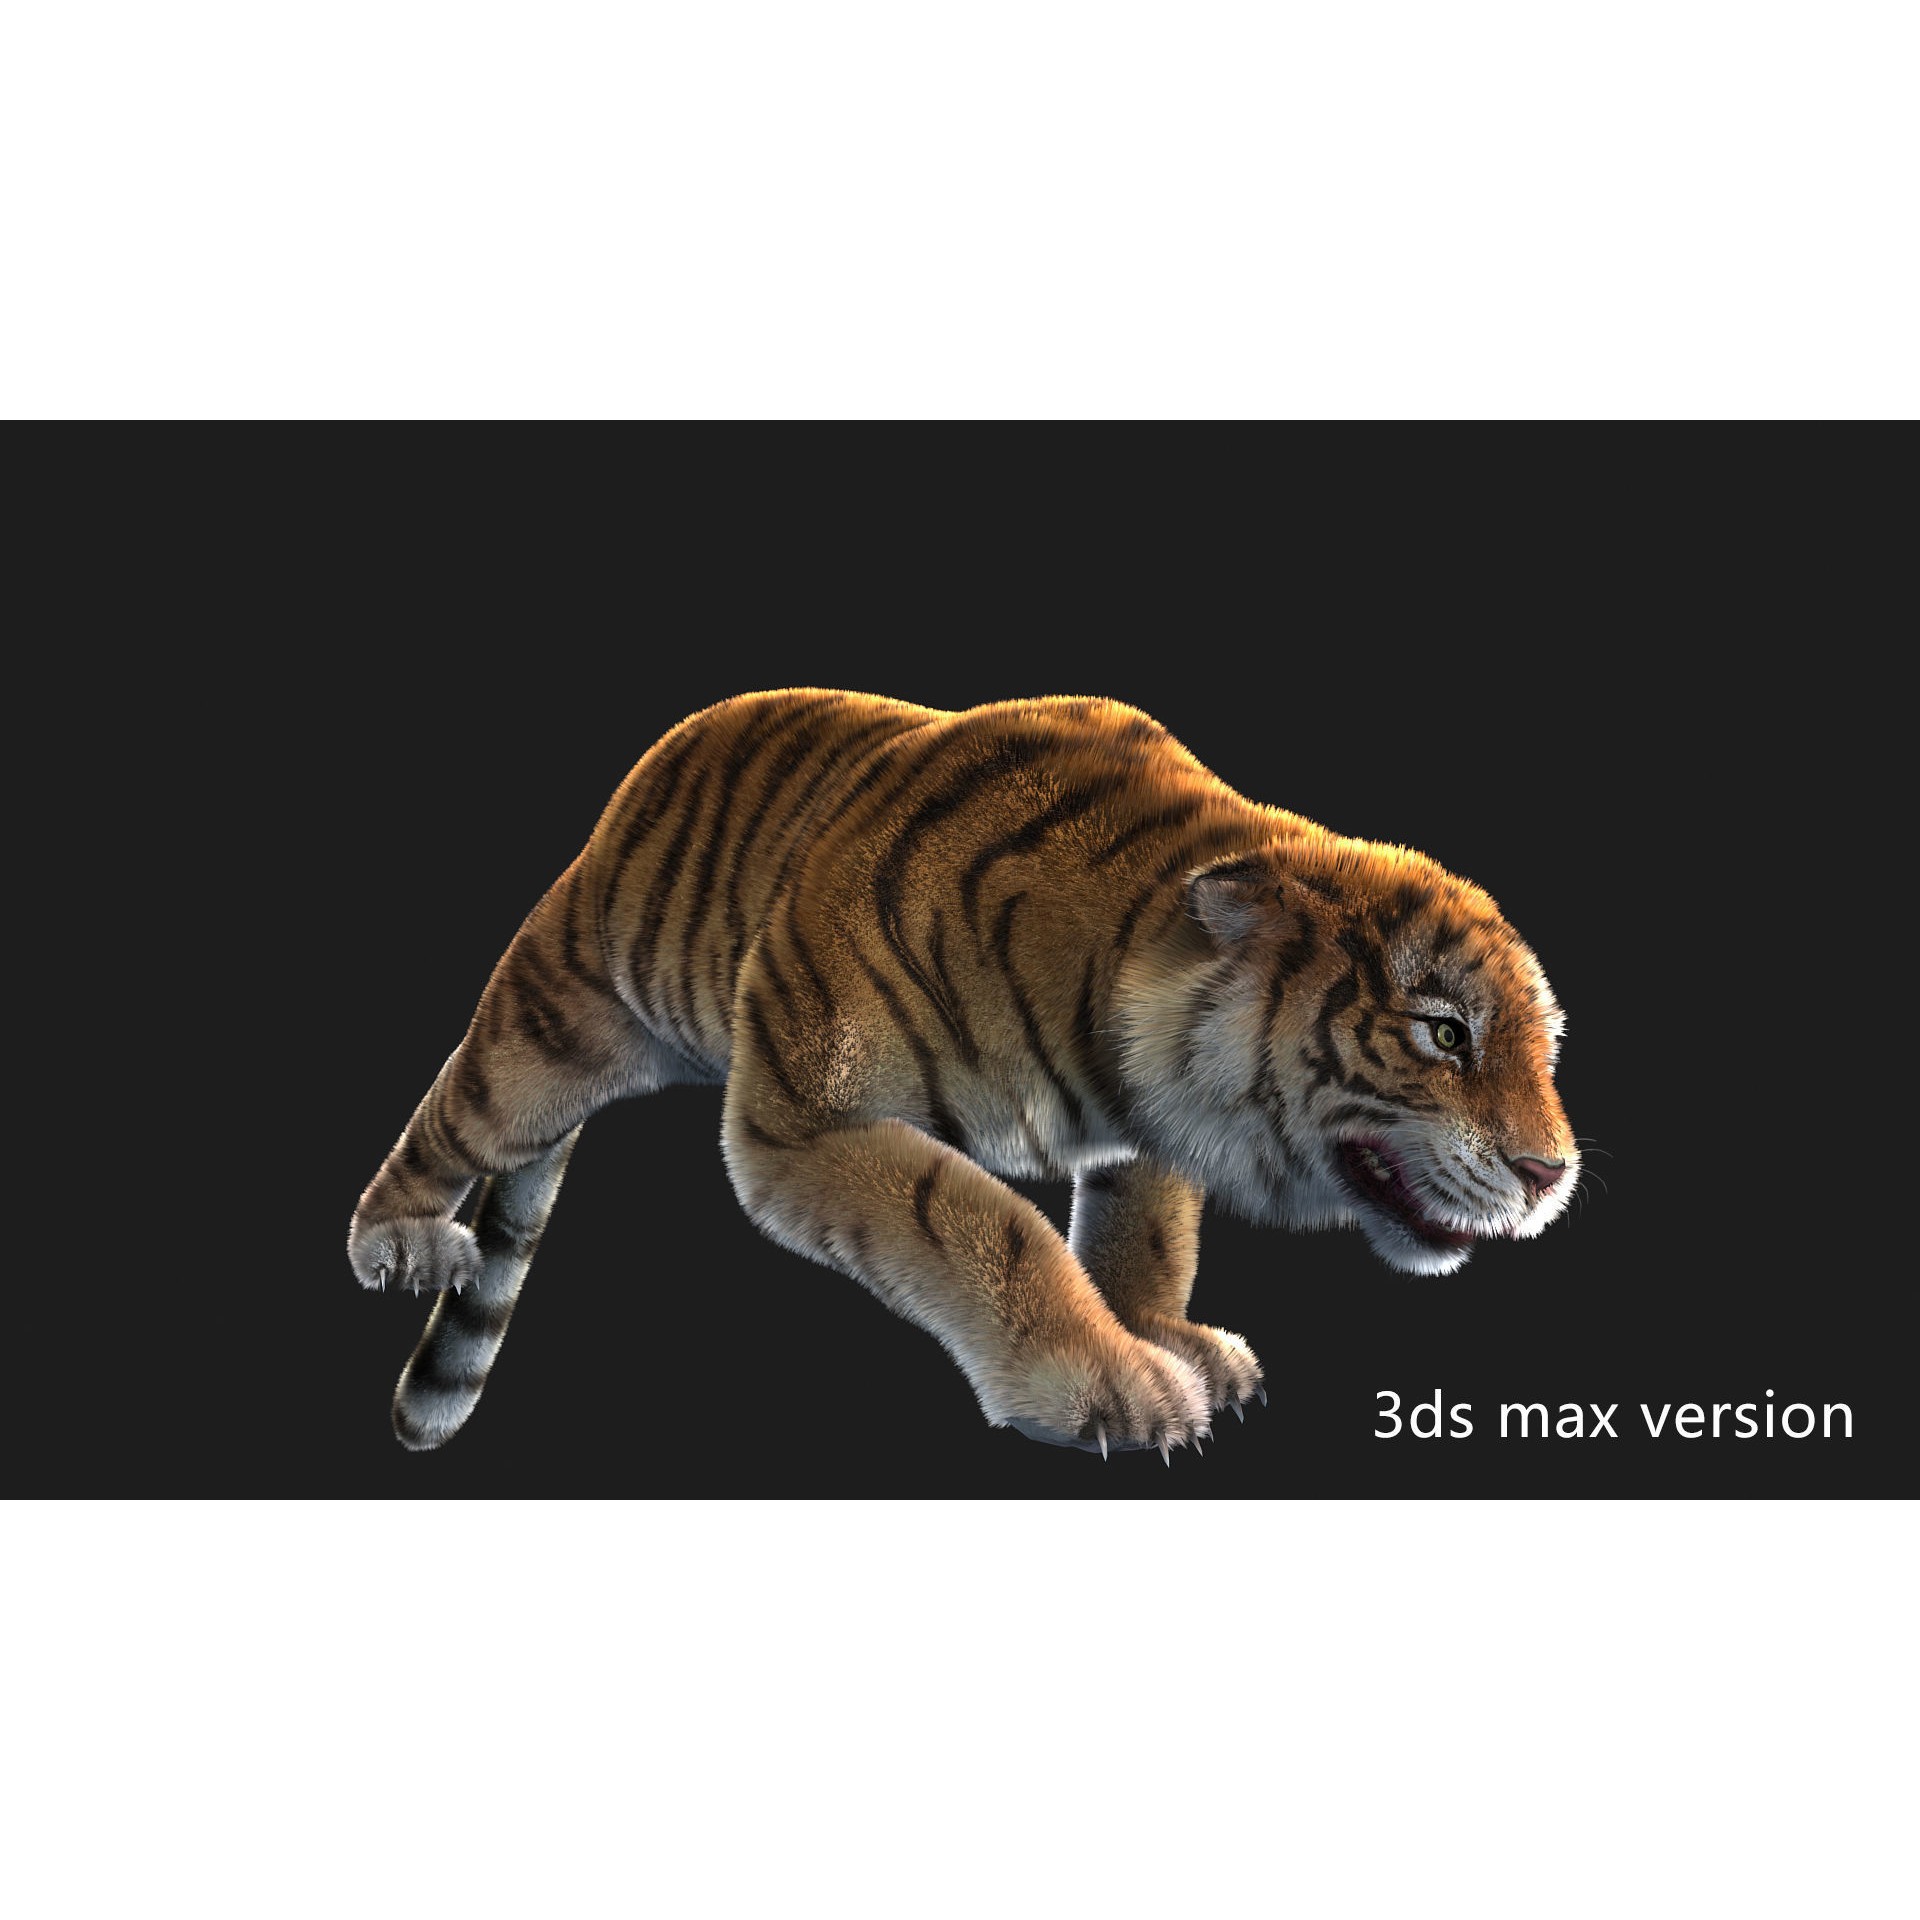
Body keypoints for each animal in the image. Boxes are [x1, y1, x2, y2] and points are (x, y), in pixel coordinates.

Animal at [348, 689, 1578, 1459]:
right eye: (1444, 1034)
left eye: (1544, 1043)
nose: (1550, 1173)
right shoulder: (810, 1117)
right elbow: (986, 1228)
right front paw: (1110, 1384)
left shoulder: (1144, 1131)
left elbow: (1146, 1235)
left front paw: (1163, 1335)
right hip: (554, 1025)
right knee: (457, 1112)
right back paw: (396, 1240)